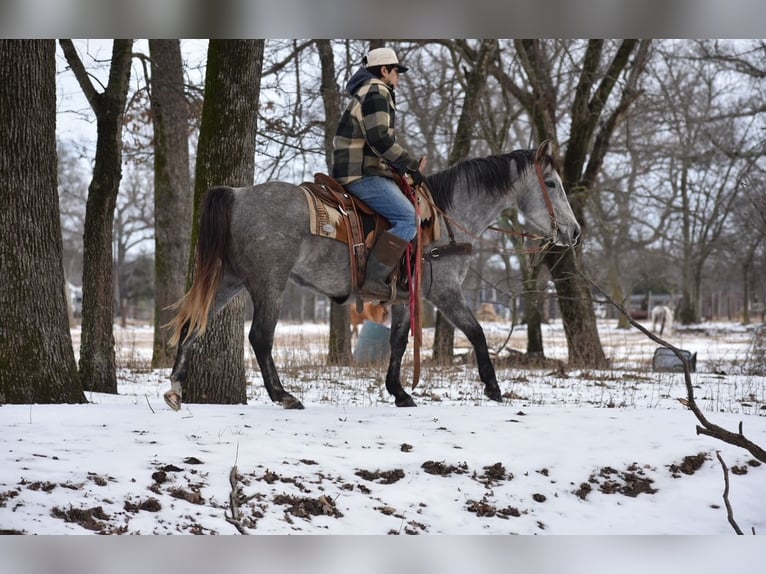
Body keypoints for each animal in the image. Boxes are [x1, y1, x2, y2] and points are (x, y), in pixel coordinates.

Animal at [163, 141, 581, 410]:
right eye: (552, 183)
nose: (574, 232)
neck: (442, 219)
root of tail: (237, 194)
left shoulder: (402, 298)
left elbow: (397, 342)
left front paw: (399, 392)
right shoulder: (445, 292)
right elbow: (477, 333)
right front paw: (493, 387)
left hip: (228, 281)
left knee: (193, 326)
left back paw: (175, 388)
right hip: (269, 285)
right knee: (260, 338)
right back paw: (283, 395)